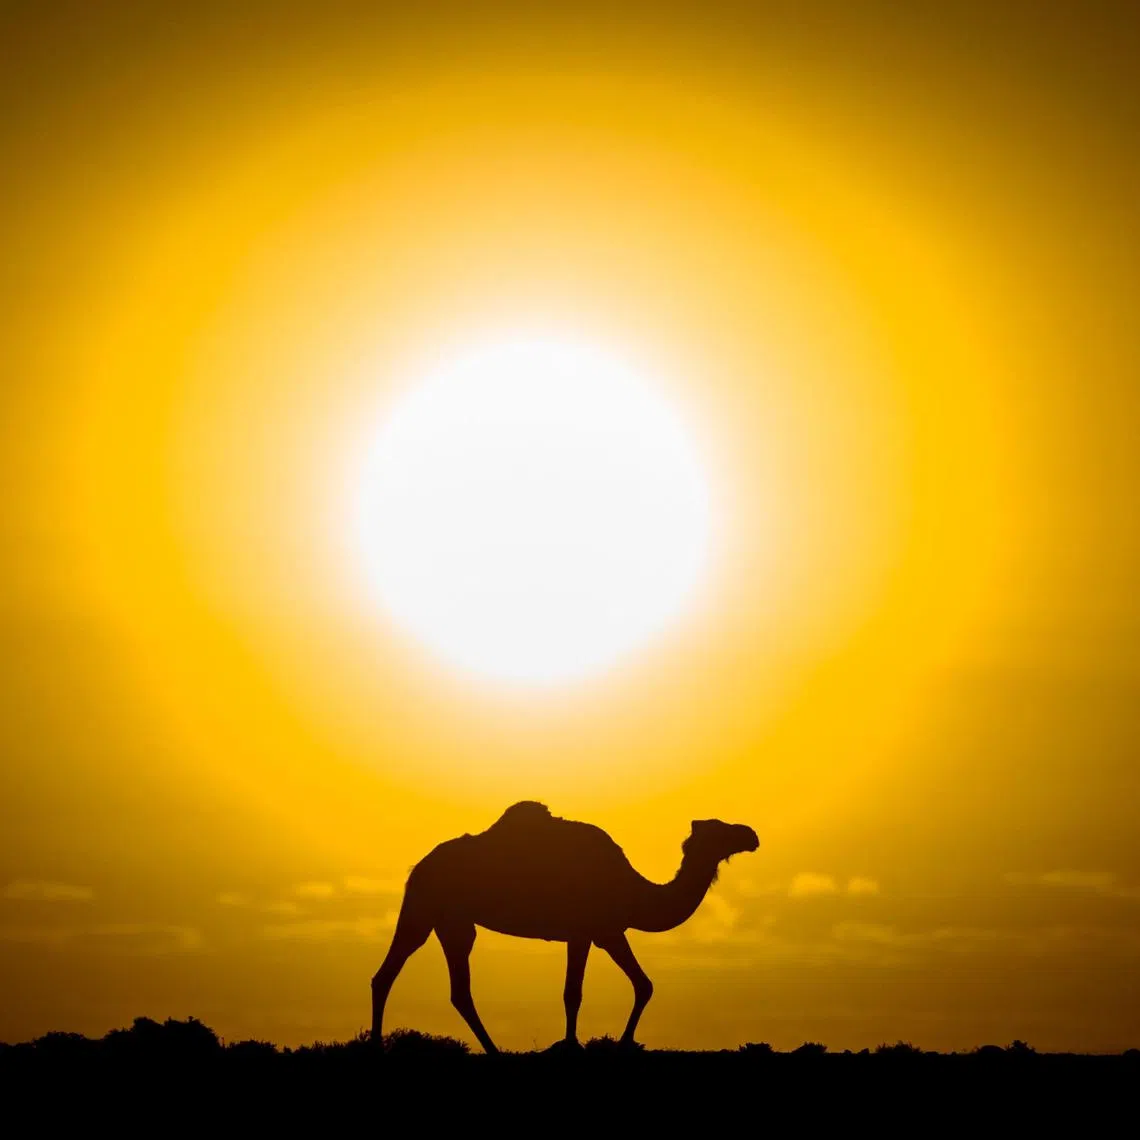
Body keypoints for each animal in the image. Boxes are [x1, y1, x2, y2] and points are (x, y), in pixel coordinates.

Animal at [370, 801, 759, 1053]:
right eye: (720, 829)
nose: (751, 834)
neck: (633, 891)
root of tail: (419, 866)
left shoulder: (606, 931)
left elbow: (642, 984)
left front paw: (621, 1042)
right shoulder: (587, 930)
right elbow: (575, 992)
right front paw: (576, 1044)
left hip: (449, 919)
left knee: (433, 984)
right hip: (425, 907)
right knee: (400, 974)